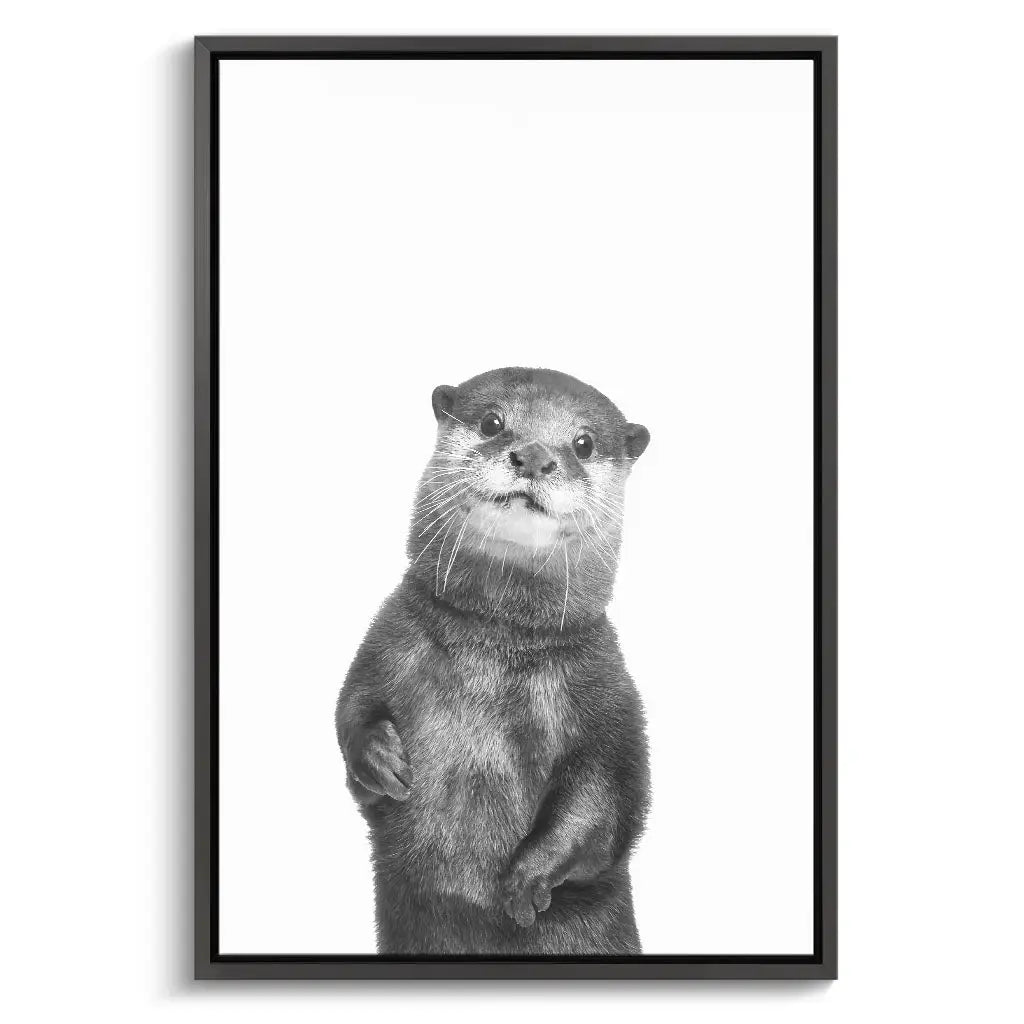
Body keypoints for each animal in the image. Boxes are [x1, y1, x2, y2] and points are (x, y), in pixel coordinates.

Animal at [335, 366, 651, 955]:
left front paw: (528, 877)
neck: (494, 649)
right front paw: (379, 758)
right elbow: (351, 708)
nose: (534, 457)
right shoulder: (386, 641)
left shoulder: (608, 692)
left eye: (583, 443)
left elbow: (607, 797)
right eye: (492, 422)